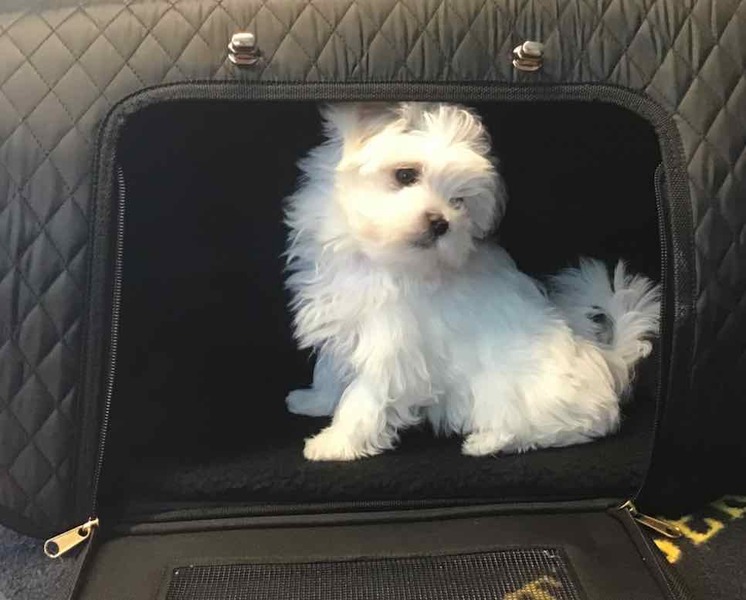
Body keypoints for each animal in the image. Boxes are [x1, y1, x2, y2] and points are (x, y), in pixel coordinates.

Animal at [283, 102, 660, 461]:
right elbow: (329, 369)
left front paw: (334, 444)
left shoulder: (393, 348)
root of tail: (607, 361)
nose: (441, 223)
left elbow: (364, 398)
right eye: (406, 174)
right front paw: (313, 401)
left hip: (515, 393)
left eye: (458, 202)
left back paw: (488, 441)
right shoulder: (343, 319)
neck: (378, 259)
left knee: (563, 428)